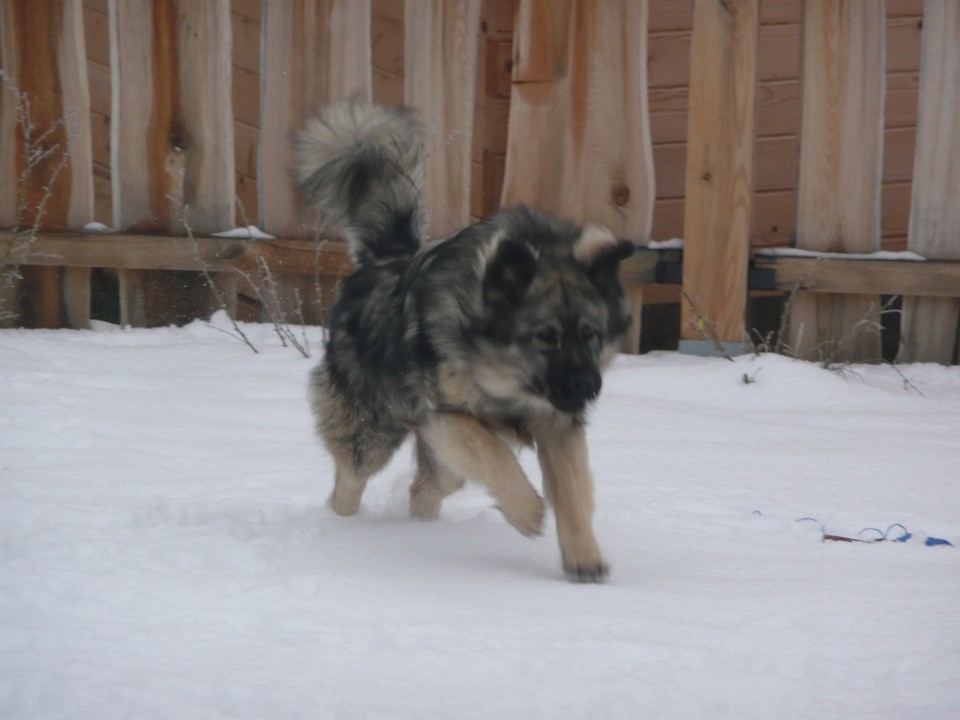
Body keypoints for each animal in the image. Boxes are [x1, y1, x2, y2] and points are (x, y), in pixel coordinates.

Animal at [296, 101, 632, 584]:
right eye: (544, 337)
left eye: (590, 334)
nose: (588, 386)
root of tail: (383, 262)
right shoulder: (448, 416)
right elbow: (496, 454)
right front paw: (527, 511)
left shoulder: (557, 423)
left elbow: (572, 491)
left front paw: (583, 557)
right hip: (371, 434)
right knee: (348, 482)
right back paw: (340, 532)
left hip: (440, 462)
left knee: (423, 489)